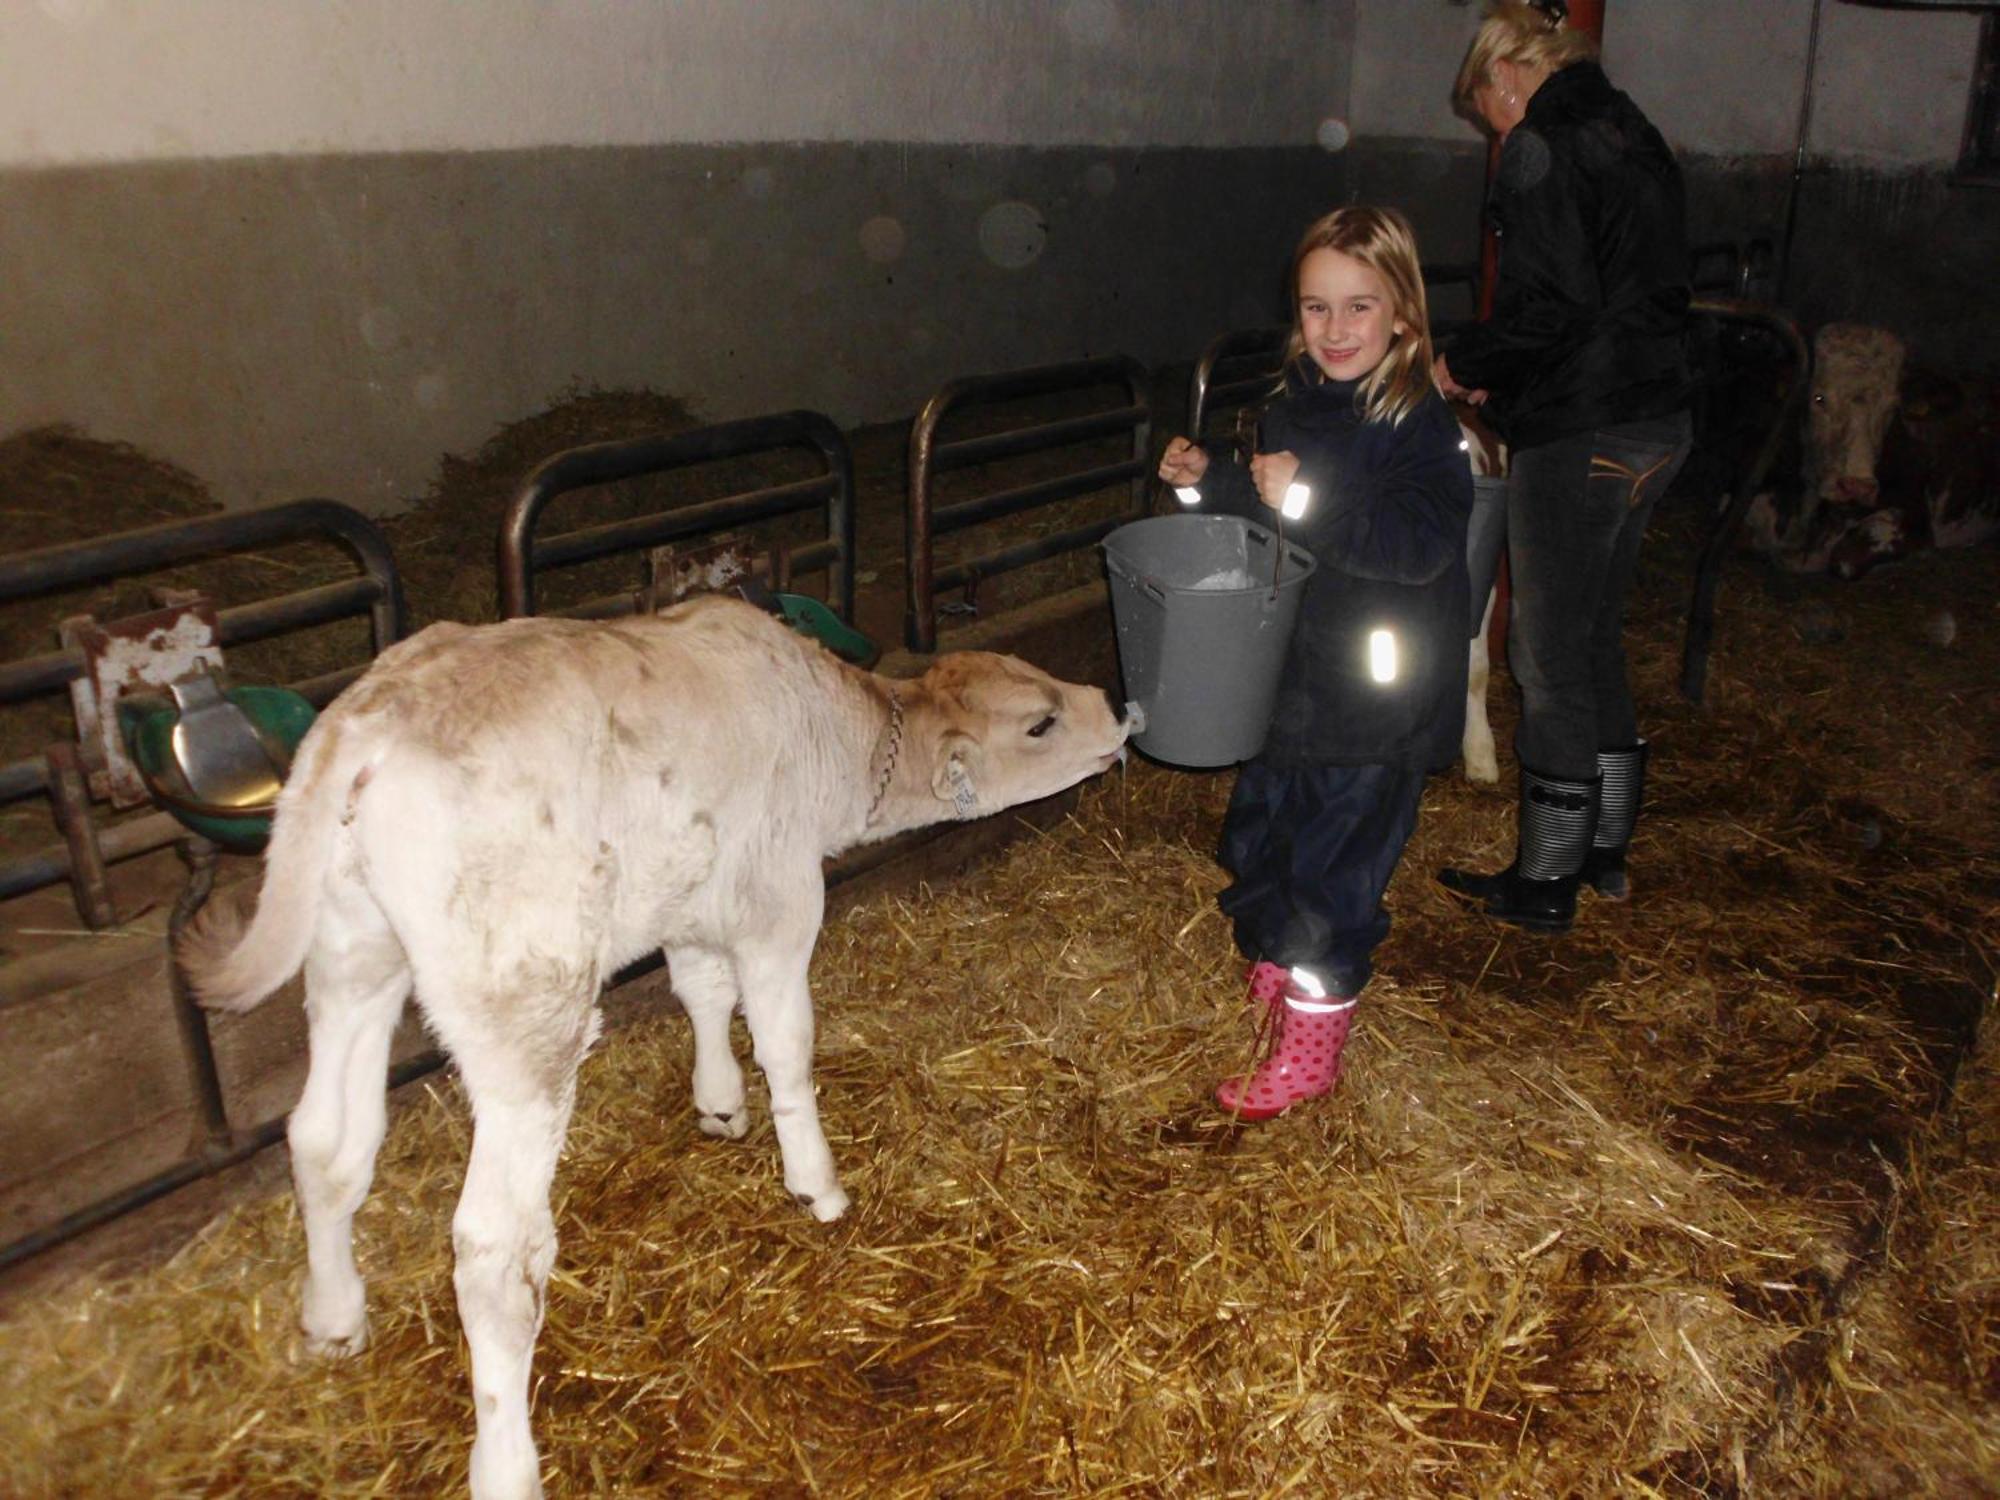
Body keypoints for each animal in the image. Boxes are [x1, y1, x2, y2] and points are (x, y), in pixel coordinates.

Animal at [182, 600, 1136, 1500]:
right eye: (1041, 723)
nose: (1113, 705)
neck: (833, 735)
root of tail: (367, 720)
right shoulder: (779, 896)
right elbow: (786, 1043)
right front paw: (816, 1184)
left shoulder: (695, 893)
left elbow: (703, 991)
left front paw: (719, 1102)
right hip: (523, 1010)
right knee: (494, 1253)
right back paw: (506, 1464)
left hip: (352, 953)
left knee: (324, 1142)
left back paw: (333, 1316)